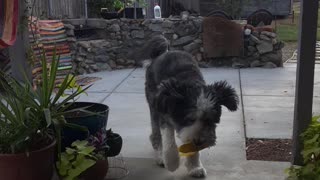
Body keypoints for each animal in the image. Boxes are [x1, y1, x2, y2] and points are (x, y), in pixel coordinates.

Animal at [144, 34, 239, 177]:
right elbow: (169, 139)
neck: (189, 82)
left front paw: (195, 167)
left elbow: (191, 145)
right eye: (189, 119)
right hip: (154, 104)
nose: (199, 141)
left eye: (211, 120)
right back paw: (160, 156)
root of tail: (164, 52)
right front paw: (171, 162)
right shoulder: (165, 113)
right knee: (155, 132)